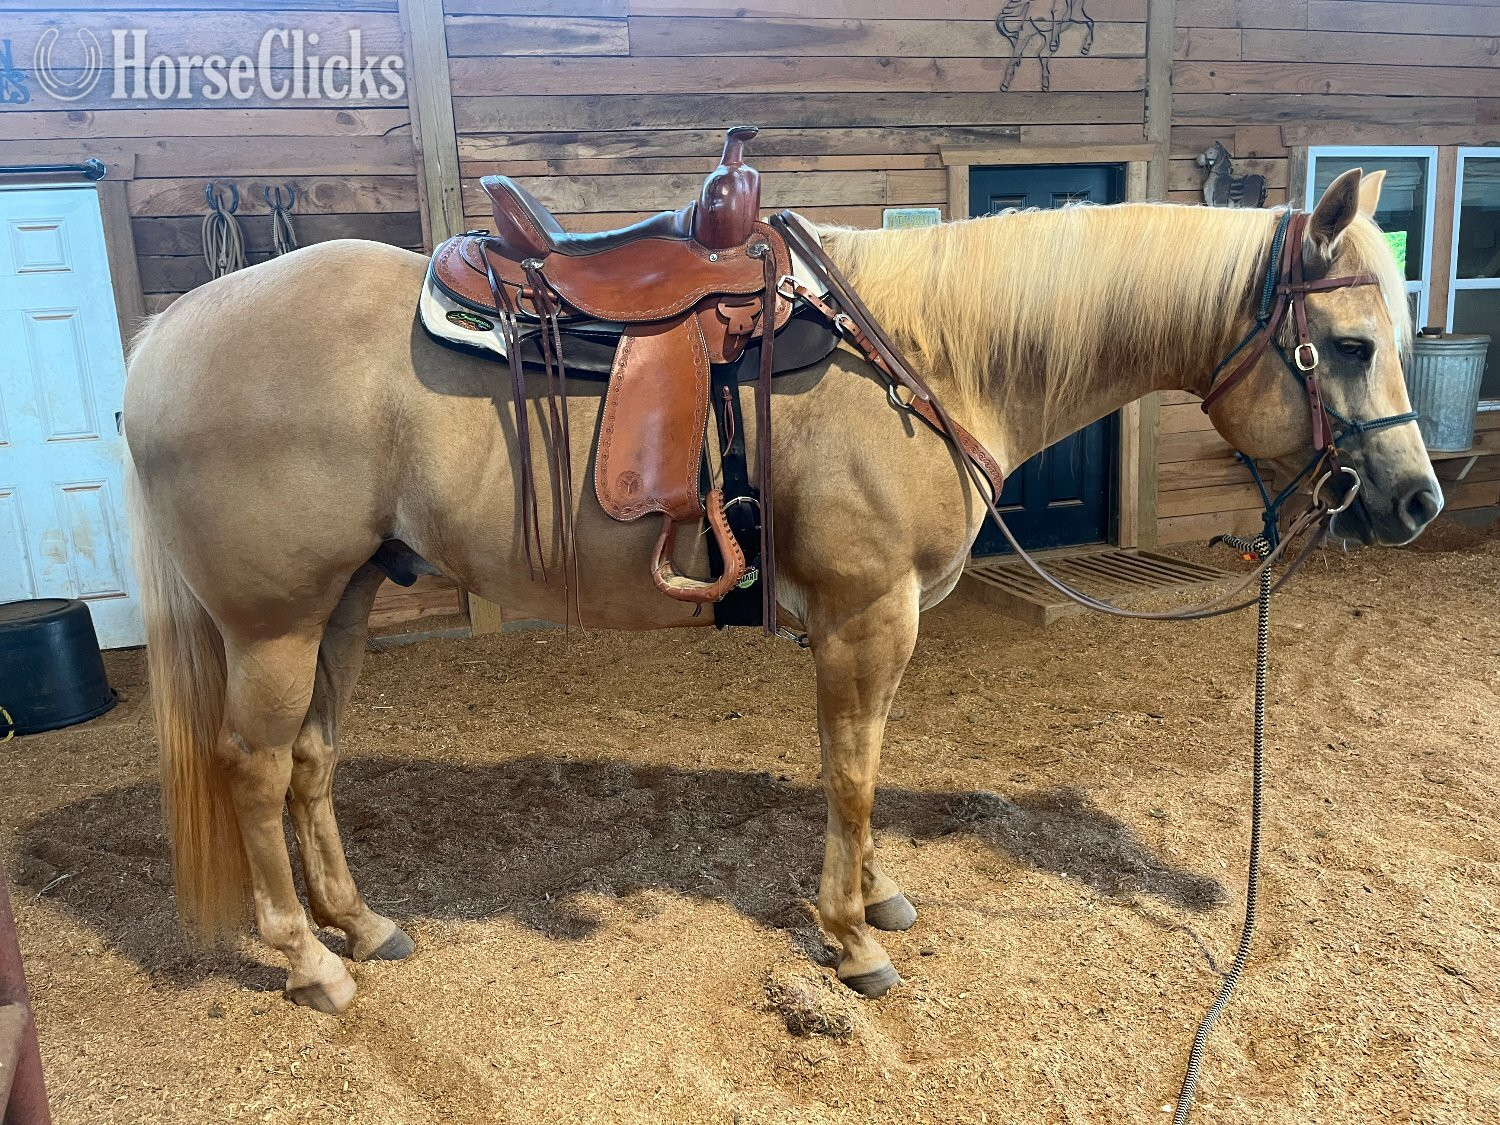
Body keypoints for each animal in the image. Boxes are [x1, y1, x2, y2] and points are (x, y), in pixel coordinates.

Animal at [123, 168, 1440, 1014]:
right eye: (1352, 346)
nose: (1417, 501)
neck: (927, 352)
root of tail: (170, 337)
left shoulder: (882, 621)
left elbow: (867, 764)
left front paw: (877, 899)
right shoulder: (866, 614)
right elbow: (852, 768)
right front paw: (850, 941)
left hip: (343, 602)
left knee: (310, 763)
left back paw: (361, 925)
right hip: (274, 624)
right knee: (254, 772)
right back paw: (309, 962)